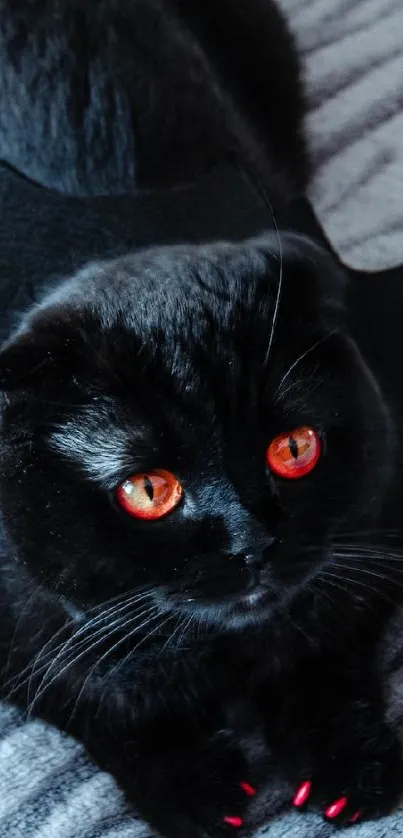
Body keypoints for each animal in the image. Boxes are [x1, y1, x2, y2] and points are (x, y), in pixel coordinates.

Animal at [0, 1, 403, 838]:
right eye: (147, 490)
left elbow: (329, 643)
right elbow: (93, 697)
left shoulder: (375, 525)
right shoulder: (22, 633)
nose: (252, 543)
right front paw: (191, 788)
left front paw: (348, 764)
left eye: (294, 448)